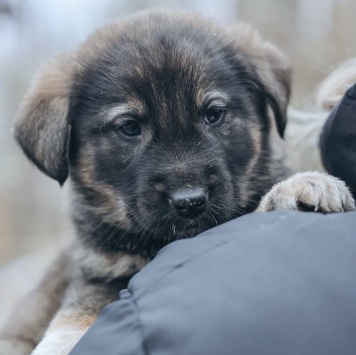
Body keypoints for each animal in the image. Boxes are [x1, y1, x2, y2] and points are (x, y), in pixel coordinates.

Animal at [0, 11, 354, 355]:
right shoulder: (98, 267)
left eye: (214, 115)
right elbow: (81, 306)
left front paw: (298, 187)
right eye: (129, 127)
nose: (190, 202)